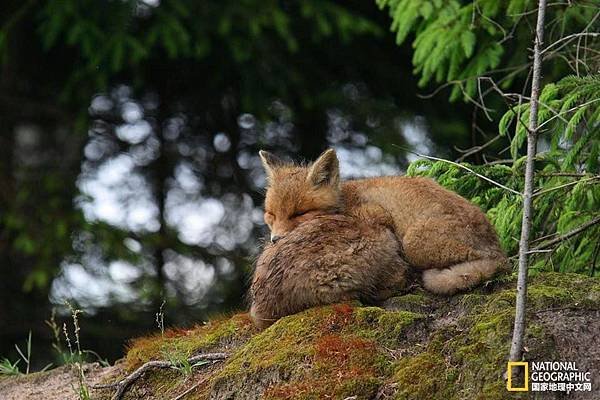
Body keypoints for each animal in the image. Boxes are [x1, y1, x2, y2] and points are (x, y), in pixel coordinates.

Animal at [260, 148, 508, 296]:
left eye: (298, 213)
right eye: (271, 214)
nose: (275, 240)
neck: (346, 202)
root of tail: (499, 249)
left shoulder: (377, 215)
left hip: (413, 243)